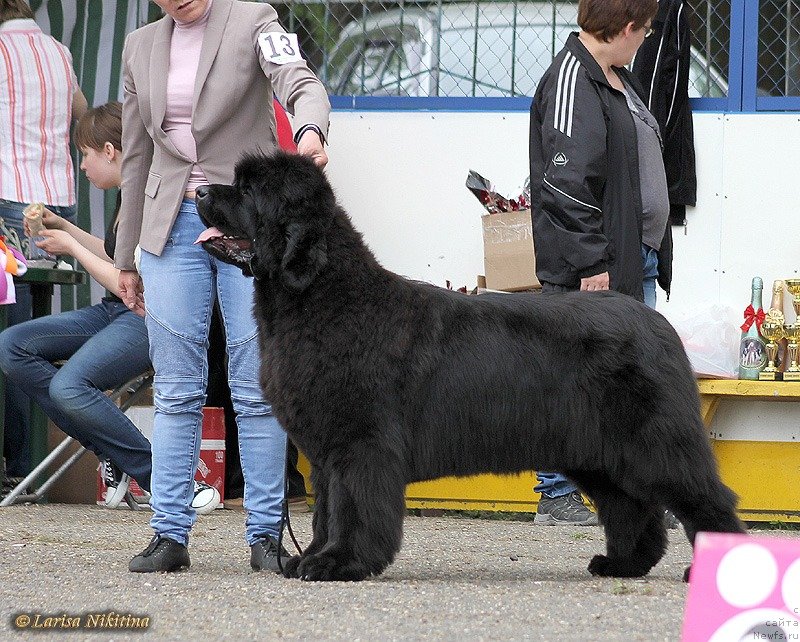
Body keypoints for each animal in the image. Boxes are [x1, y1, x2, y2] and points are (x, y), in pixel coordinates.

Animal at [197, 151, 748, 580]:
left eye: (247, 191)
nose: (200, 191)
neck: (323, 297)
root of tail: (657, 323)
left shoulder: (361, 443)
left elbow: (353, 508)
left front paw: (340, 563)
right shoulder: (330, 449)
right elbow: (327, 511)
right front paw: (309, 558)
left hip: (655, 442)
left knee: (706, 498)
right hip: (601, 455)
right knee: (631, 508)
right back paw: (622, 564)